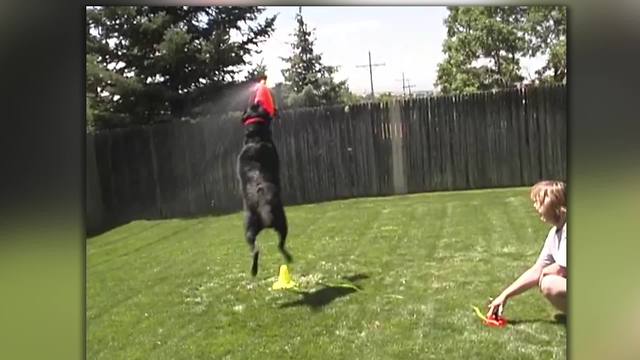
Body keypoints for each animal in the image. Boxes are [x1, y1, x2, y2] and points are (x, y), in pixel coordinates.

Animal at [238, 104, 292, 276]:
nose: (256, 103)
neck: (256, 139)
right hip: (281, 223)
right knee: (280, 245)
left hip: (249, 230)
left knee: (256, 249)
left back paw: (254, 270)